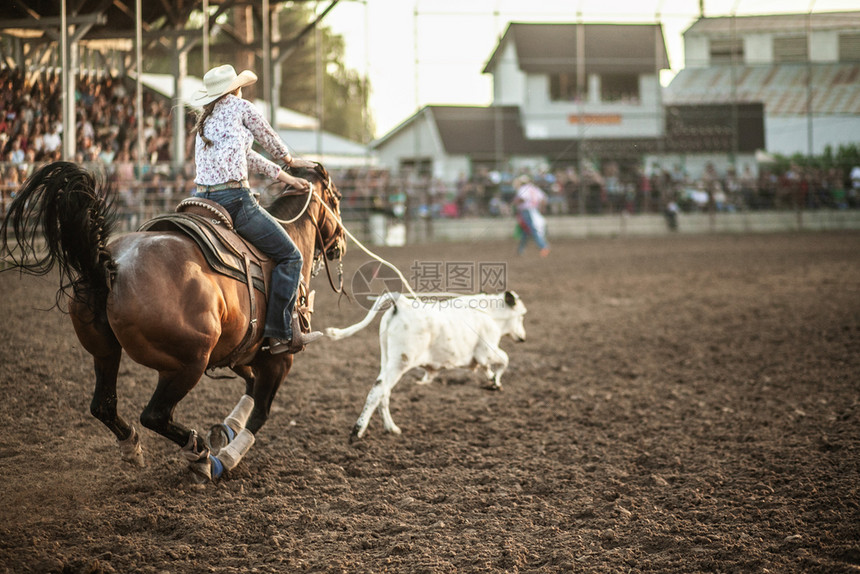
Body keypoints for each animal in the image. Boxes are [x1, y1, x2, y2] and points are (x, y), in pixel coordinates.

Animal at [4, 161, 346, 482]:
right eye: (338, 199)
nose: (341, 243)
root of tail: (110, 266)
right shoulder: (279, 359)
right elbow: (260, 413)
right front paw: (226, 457)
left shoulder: (241, 353)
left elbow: (248, 387)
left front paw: (226, 429)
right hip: (186, 364)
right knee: (155, 415)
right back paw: (200, 455)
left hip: (105, 351)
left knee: (104, 405)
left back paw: (133, 446)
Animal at [326, 292, 524, 440]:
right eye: (521, 316)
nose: (523, 338)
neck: (489, 314)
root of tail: (402, 303)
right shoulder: (487, 351)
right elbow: (505, 359)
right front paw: (495, 382)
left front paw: (492, 380)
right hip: (400, 363)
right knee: (378, 390)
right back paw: (358, 430)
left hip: (387, 359)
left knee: (384, 392)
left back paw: (391, 428)